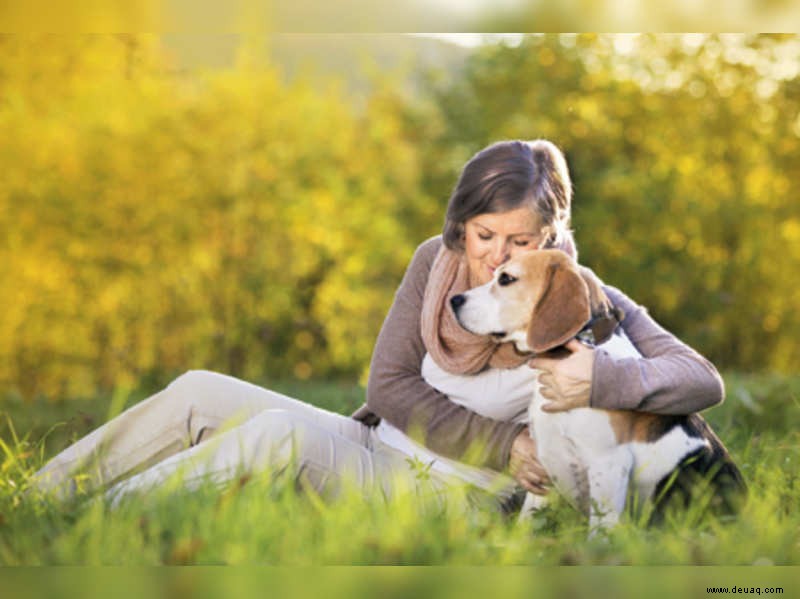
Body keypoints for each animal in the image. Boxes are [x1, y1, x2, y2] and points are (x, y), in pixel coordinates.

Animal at [454, 251, 748, 532]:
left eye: (506, 279)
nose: (454, 300)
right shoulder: (545, 463)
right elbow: (528, 520)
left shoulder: (608, 464)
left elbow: (600, 529)